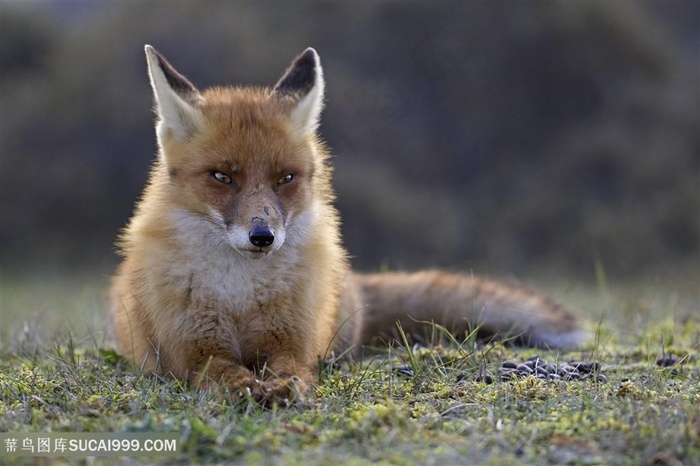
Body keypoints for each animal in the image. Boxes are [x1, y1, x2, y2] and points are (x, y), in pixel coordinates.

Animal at [109, 44, 588, 404]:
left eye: (285, 178)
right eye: (223, 177)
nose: (263, 236)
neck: (240, 295)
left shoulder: (291, 342)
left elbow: (293, 370)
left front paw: (284, 389)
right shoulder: (194, 351)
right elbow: (227, 374)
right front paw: (248, 389)